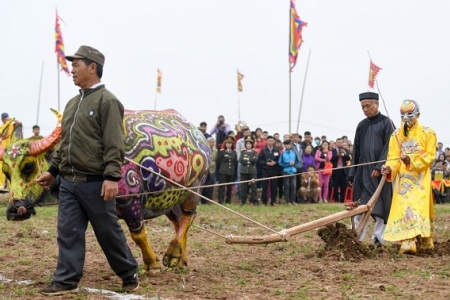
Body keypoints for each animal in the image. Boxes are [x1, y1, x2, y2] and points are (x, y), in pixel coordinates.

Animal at [1, 108, 210, 270]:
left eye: (29, 166)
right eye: (6, 172)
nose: (14, 210)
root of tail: (198, 134)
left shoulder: (131, 200)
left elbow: (138, 234)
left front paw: (152, 263)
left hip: (194, 189)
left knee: (187, 218)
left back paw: (172, 255)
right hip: (171, 201)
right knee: (180, 223)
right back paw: (181, 260)